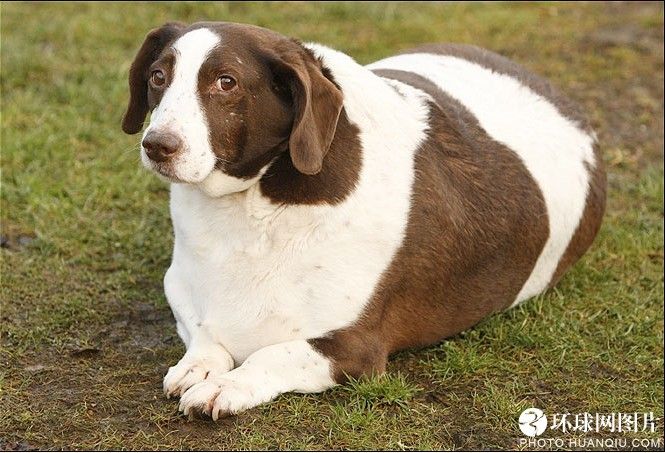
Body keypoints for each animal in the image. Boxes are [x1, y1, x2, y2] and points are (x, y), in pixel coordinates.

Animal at [122, 20, 604, 416]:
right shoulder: (181, 289)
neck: (255, 205)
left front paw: (228, 386)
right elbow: (206, 332)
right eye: (158, 77)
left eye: (227, 82)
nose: (157, 145)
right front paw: (201, 365)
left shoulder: (354, 347)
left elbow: (271, 354)